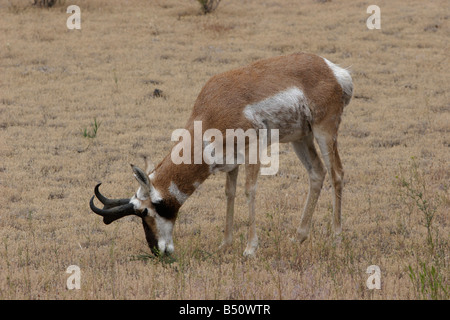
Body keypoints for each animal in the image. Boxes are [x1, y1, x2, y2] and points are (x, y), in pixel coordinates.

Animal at [89, 52, 354, 258]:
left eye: (145, 211)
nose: (157, 251)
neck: (212, 110)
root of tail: (332, 70)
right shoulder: (231, 162)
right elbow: (229, 194)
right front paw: (225, 245)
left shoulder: (253, 150)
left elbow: (249, 191)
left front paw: (250, 249)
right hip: (301, 138)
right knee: (317, 173)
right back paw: (298, 237)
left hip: (324, 131)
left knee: (337, 173)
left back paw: (336, 238)